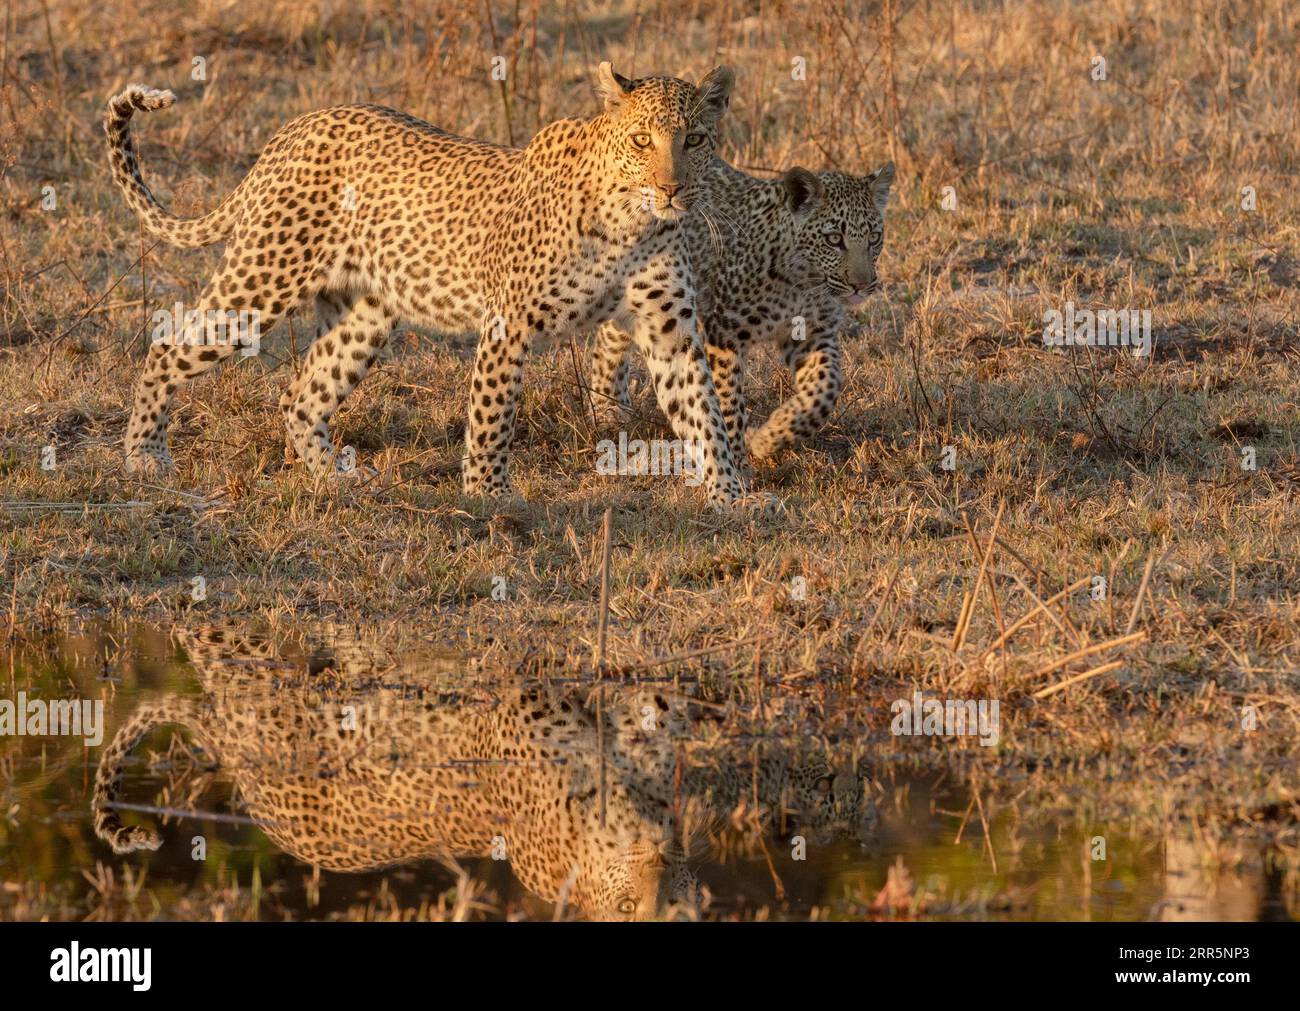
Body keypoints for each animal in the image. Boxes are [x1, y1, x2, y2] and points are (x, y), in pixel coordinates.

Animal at [107, 63, 756, 507]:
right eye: (643, 140)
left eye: (695, 140)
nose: (672, 189)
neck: (633, 225)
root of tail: (291, 130)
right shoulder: (508, 323)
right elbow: (494, 416)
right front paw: (489, 496)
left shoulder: (669, 329)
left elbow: (704, 413)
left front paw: (733, 495)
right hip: (263, 279)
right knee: (167, 347)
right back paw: (144, 456)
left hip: (365, 316)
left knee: (302, 396)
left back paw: (337, 478)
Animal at [589, 158, 894, 482]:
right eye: (834, 239)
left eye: (874, 238)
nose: (863, 285)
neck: (803, 282)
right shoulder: (725, 335)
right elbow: (727, 403)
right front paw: (736, 465)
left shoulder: (813, 333)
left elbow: (827, 387)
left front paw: (770, 437)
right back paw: (607, 410)